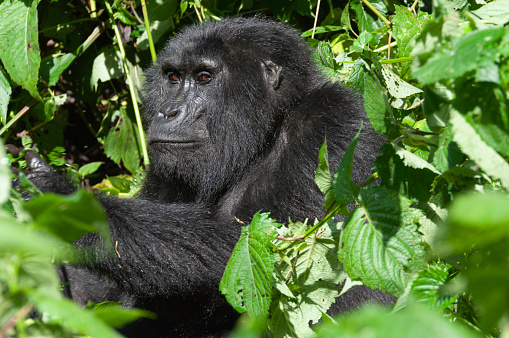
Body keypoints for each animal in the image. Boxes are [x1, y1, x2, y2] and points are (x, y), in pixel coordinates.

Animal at [18, 16, 392, 338]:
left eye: (203, 78)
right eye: (172, 78)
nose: (168, 112)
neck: (265, 136)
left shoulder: (332, 122)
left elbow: (264, 255)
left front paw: (61, 201)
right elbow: (101, 296)